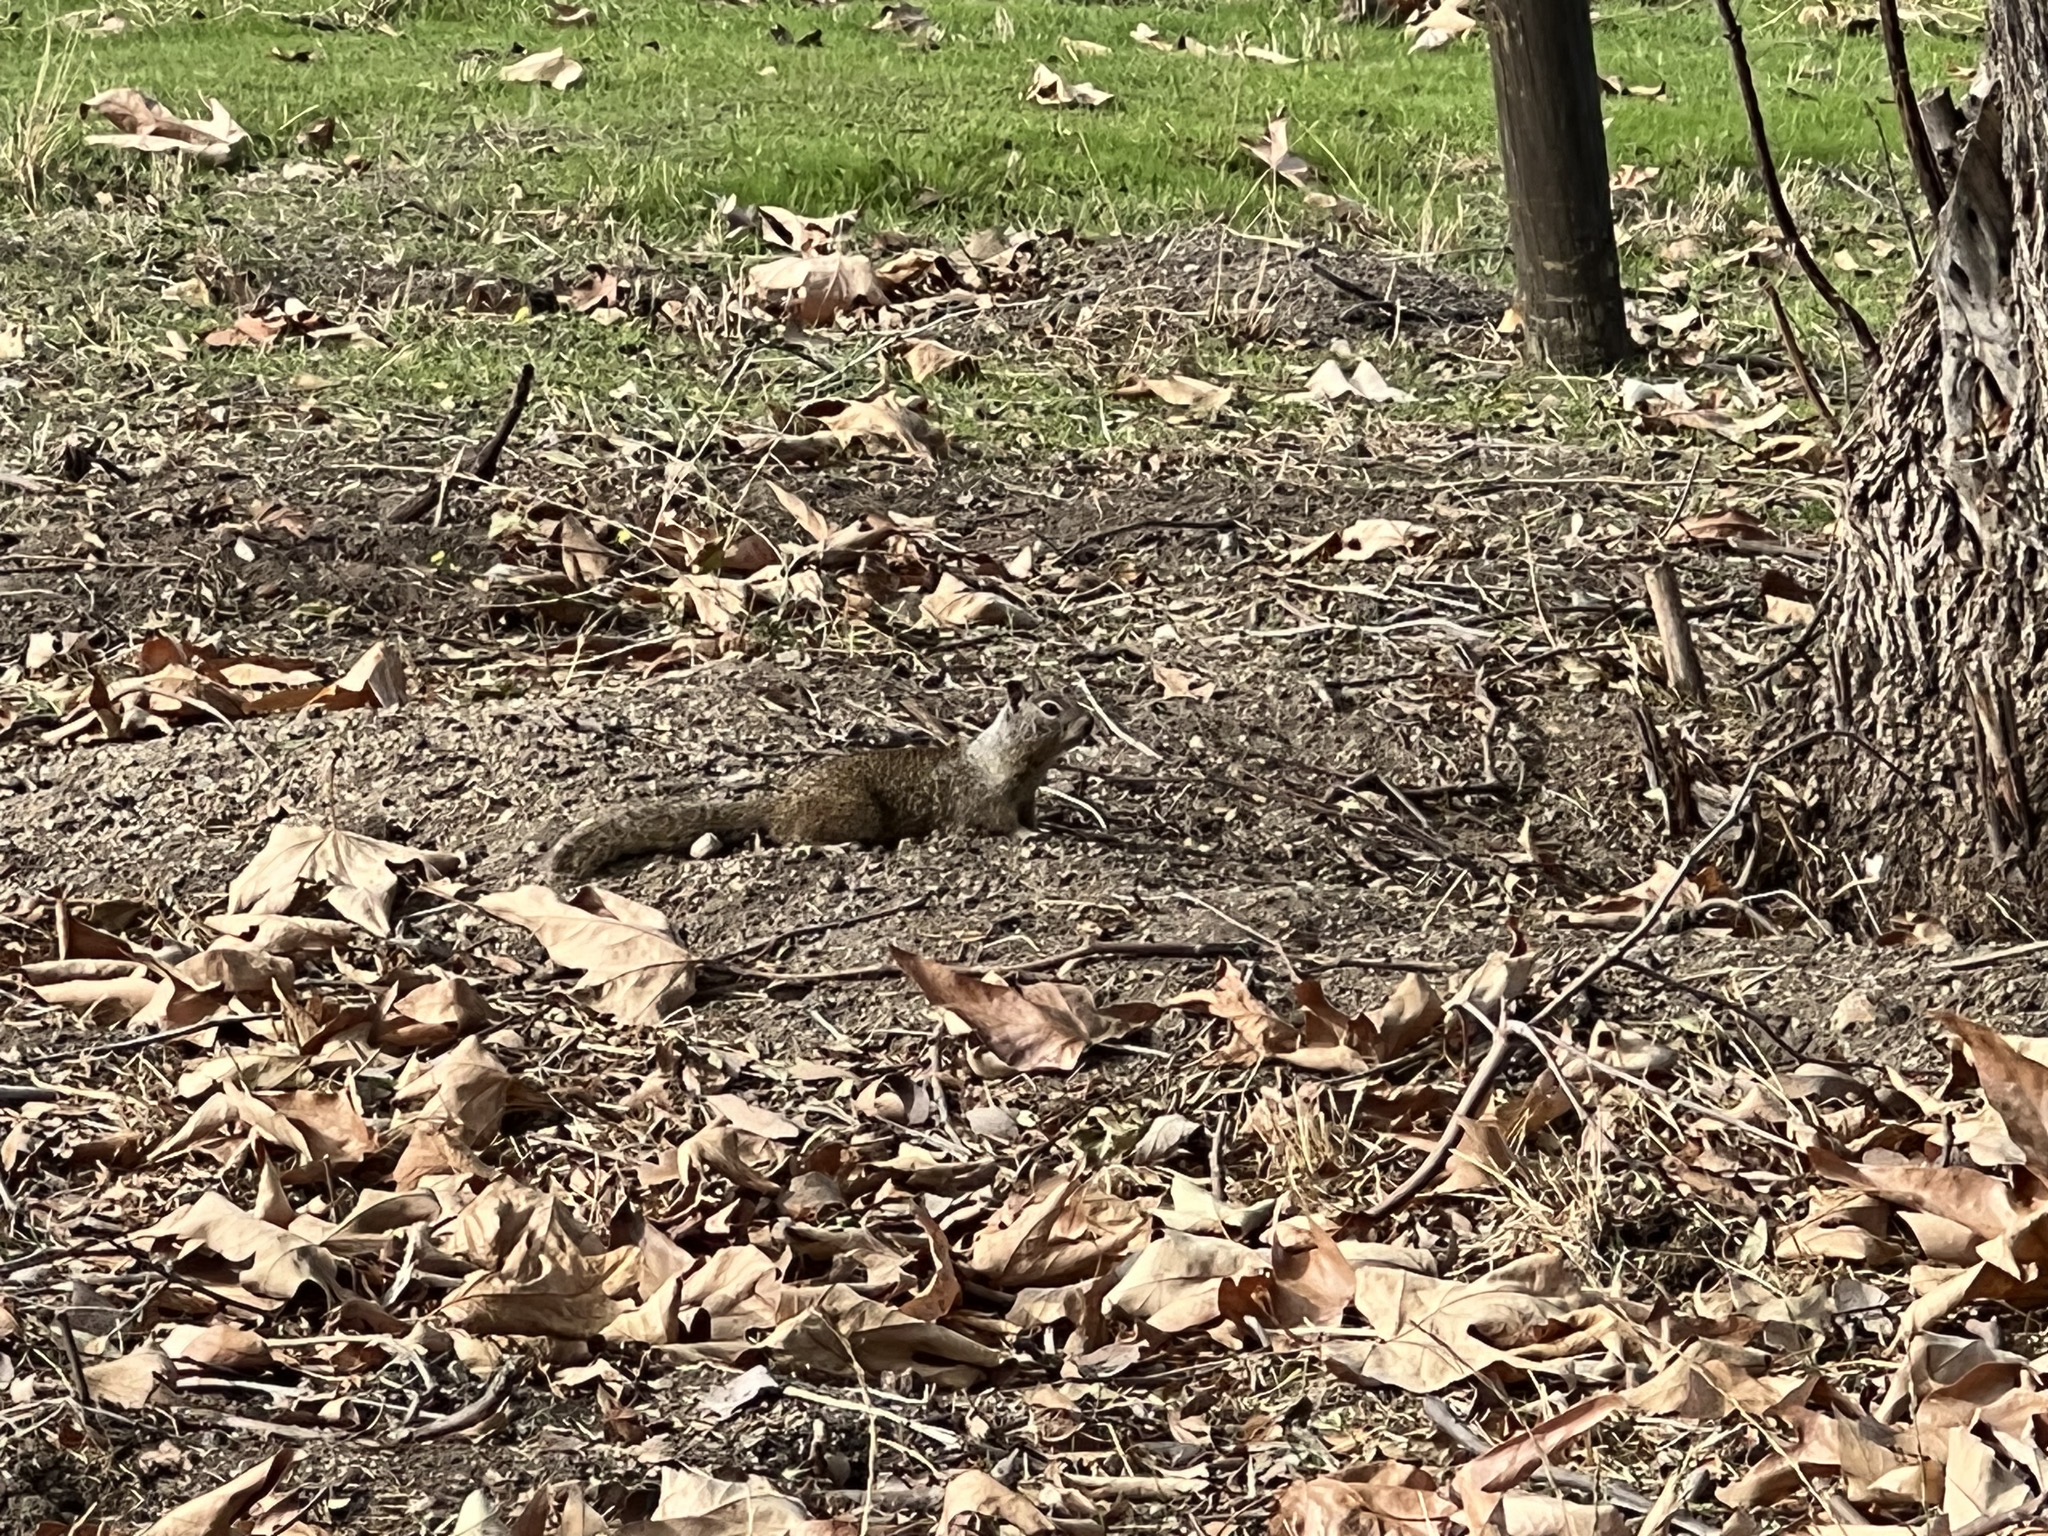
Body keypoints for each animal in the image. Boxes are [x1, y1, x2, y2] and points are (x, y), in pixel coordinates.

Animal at [548, 683, 1093, 880]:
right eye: (1050, 708)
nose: (1088, 723)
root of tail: (779, 801)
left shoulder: (1027, 795)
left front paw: (1057, 826)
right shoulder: (987, 802)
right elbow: (1001, 825)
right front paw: (1031, 836)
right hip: (853, 813)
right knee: (791, 838)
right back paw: (836, 848)